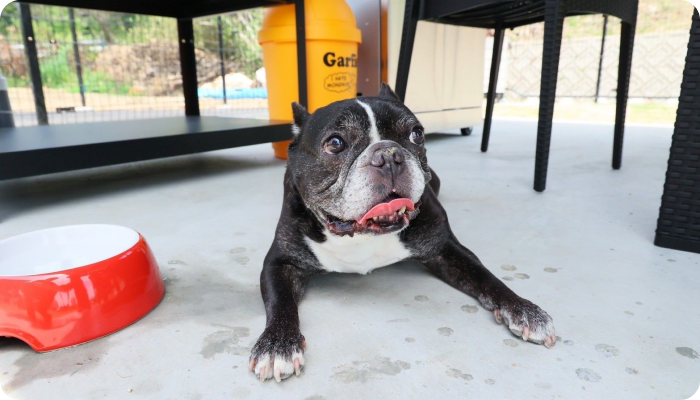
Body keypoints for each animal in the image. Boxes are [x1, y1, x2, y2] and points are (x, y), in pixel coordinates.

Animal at [249, 83, 556, 382]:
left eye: (416, 134)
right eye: (335, 143)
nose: (388, 155)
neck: (362, 235)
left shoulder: (446, 249)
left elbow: (486, 278)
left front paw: (524, 309)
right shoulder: (280, 263)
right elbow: (280, 301)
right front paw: (277, 345)